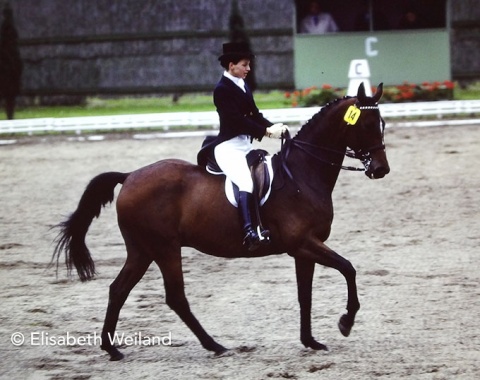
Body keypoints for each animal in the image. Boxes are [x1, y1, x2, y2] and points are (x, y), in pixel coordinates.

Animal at [52, 82, 390, 360]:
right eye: (367, 124)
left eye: (383, 123)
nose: (381, 169)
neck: (302, 174)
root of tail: (130, 176)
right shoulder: (304, 243)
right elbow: (348, 268)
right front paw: (346, 322)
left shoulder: (304, 250)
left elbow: (304, 295)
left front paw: (311, 341)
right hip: (164, 248)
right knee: (175, 297)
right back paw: (215, 346)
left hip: (142, 250)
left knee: (118, 289)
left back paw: (112, 349)